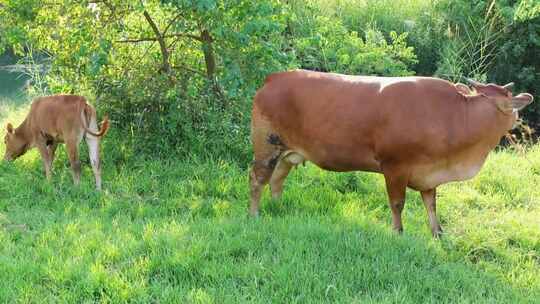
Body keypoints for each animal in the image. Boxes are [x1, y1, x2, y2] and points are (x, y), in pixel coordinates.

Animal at [250, 69, 536, 238]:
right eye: (509, 101)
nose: (518, 120)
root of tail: (276, 77)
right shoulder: (395, 166)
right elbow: (397, 203)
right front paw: (398, 231)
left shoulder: (429, 173)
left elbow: (431, 203)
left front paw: (437, 232)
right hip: (266, 145)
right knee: (258, 179)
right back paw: (254, 214)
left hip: (287, 152)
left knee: (277, 180)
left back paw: (279, 207)